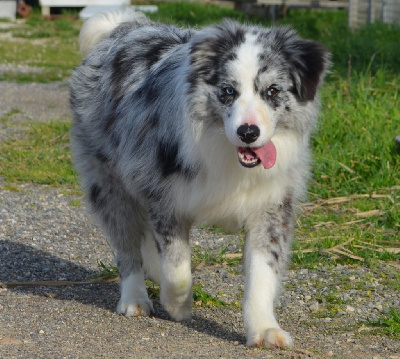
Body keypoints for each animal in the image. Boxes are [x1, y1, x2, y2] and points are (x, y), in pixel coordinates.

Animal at [70, 10, 330, 348]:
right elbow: (177, 268)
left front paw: (263, 329)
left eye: (272, 91)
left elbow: (262, 272)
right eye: (228, 91)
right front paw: (178, 305)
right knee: (127, 247)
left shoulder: (270, 206)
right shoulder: (164, 198)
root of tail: (121, 28)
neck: (225, 150)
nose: (249, 132)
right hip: (111, 186)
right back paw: (135, 298)